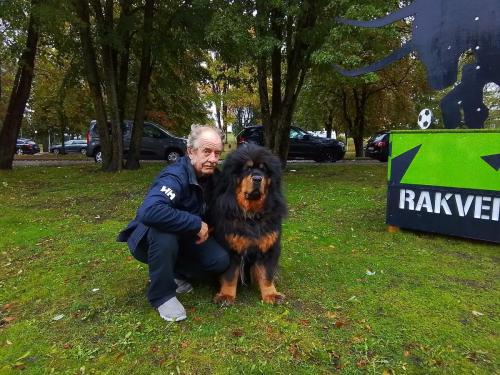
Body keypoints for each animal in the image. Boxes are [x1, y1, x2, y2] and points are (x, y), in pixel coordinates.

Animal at [210, 144, 288, 306]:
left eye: (264, 170)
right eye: (247, 169)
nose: (257, 178)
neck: (251, 215)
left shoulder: (269, 247)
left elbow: (267, 274)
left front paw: (271, 294)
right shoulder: (230, 248)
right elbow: (229, 276)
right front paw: (226, 295)